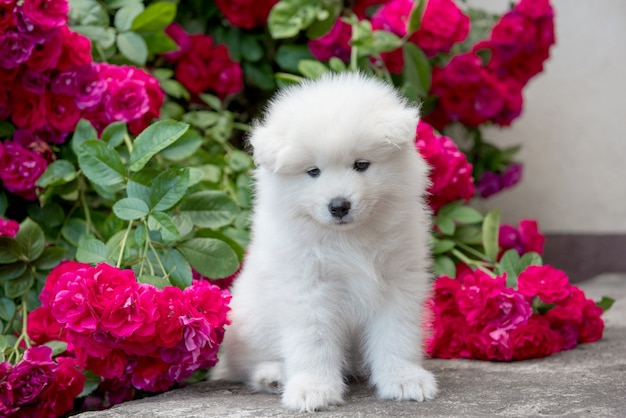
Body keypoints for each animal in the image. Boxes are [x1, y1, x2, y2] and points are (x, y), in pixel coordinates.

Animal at [210, 72, 434, 412]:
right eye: (313, 171)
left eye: (361, 164)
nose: (339, 205)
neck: (348, 238)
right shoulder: (307, 288)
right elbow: (313, 341)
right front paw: (313, 389)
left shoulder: (398, 281)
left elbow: (397, 333)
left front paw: (405, 379)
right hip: (248, 323)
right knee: (244, 364)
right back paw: (273, 375)